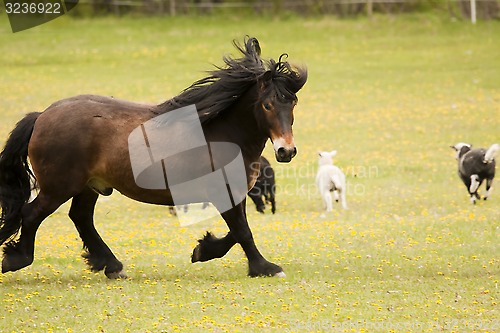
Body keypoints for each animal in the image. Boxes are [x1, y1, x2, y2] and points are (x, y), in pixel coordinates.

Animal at [0, 37, 306, 278]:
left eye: (292, 103)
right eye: (267, 105)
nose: (286, 151)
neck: (223, 133)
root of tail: (42, 116)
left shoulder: (236, 194)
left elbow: (238, 229)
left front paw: (203, 249)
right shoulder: (225, 191)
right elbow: (242, 231)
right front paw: (265, 267)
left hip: (88, 186)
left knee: (81, 217)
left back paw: (111, 265)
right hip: (59, 187)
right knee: (32, 214)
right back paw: (17, 259)